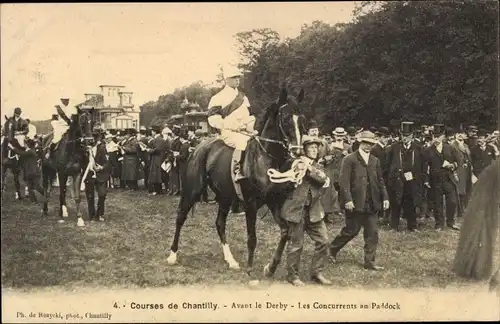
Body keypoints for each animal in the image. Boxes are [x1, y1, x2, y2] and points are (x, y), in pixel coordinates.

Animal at [167, 87, 308, 280]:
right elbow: (252, 238)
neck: (265, 159)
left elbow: (285, 232)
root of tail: (198, 147)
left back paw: (231, 260)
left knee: (219, 223)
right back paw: (172, 255)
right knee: (180, 217)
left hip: (224, 197)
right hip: (192, 191)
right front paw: (250, 270)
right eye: (285, 118)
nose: (297, 151)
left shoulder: (274, 202)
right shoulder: (251, 204)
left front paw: (270, 268)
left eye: (302, 119)